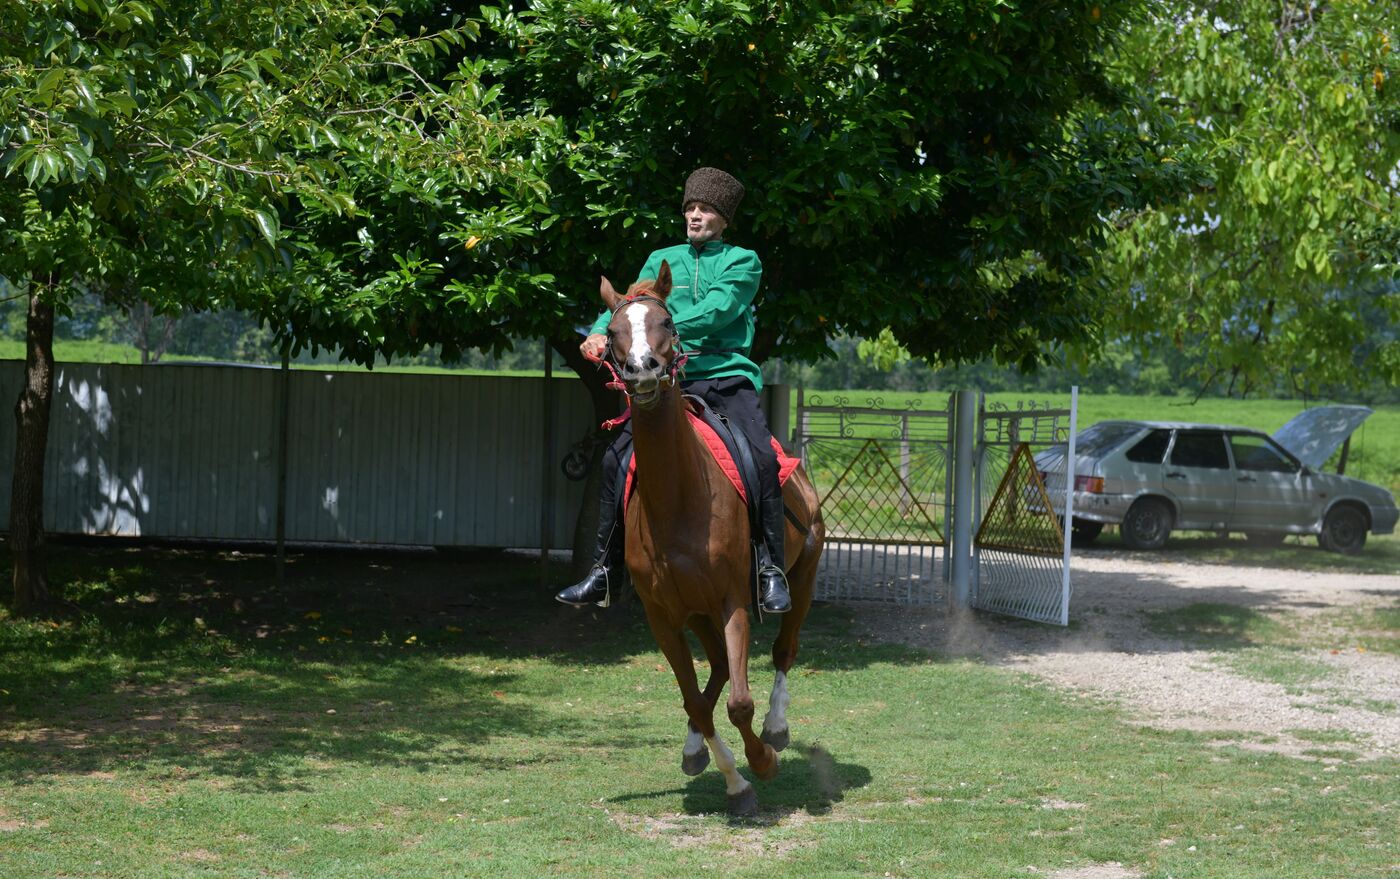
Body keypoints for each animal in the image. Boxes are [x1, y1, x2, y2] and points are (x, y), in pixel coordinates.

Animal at [599, 263, 817, 817]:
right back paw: (696, 749)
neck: (680, 497)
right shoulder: (663, 615)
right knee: (716, 670)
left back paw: (776, 730)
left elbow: (740, 701)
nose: (642, 370)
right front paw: (734, 780)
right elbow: (696, 699)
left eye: (667, 322)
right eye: (612, 332)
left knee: (783, 650)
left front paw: (762, 762)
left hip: (803, 576)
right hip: (696, 612)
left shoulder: (732, 599)